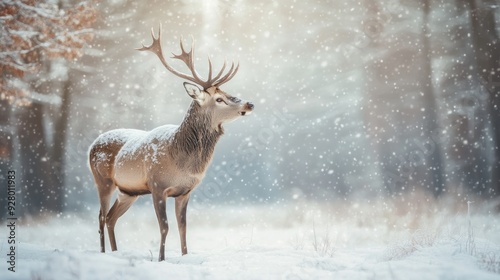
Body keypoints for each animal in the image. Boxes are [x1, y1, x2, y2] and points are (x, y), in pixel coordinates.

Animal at [88, 25, 254, 262]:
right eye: (219, 99)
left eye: (226, 92)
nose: (249, 104)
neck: (182, 161)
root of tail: (92, 145)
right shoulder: (157, 185)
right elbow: (164, 226)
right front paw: (161, 259)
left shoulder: (185, 191)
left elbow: (183, 226)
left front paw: (185, 255)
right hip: (102, 180)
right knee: (101, 216)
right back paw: (103, 253)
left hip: (128, 191)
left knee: (111, 217)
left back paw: (116, 252)